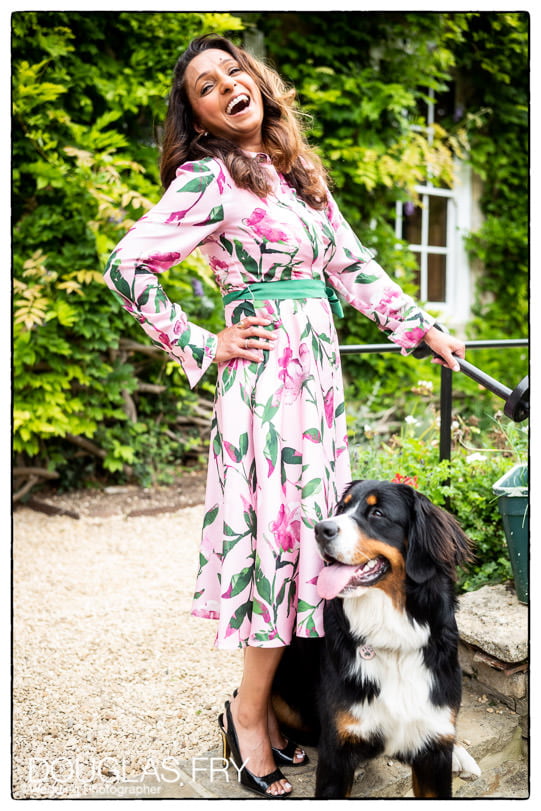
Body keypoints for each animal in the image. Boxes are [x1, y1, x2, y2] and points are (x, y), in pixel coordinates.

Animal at [272, 478, 478, 796]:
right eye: (341, 509)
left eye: (378, 513)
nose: (320, 529)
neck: (393, 642)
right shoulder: (337, 751)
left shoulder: (433, 753)